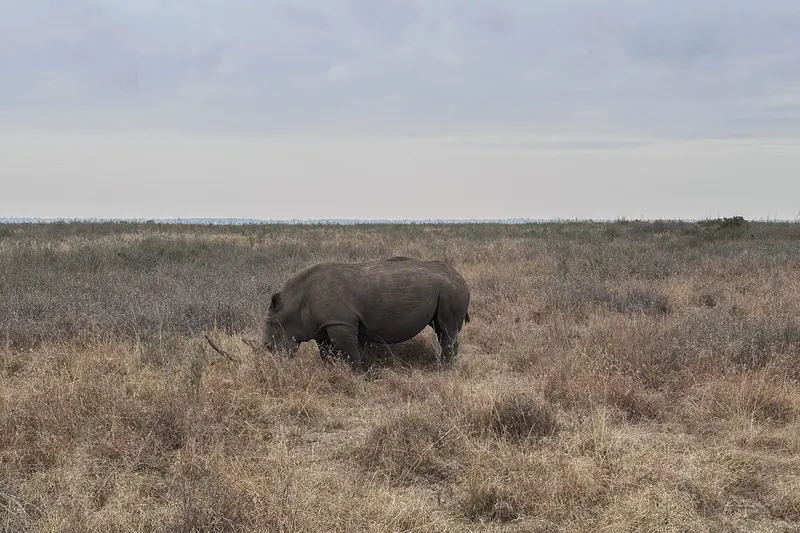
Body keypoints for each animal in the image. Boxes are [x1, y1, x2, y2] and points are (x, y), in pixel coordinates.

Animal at [260, 256, 471, 372]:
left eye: (269, 346)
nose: (278, 368)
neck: (293, 303)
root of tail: (460, 276)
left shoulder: (340, 322)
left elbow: (350, 351)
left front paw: (360, 374)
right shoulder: (323, 325)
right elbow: (326, 353)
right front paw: (330, 372)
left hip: (450, 290)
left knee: (447, 329)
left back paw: (444, 370)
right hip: (446, 290)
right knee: (442, 329)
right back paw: (445, 366)